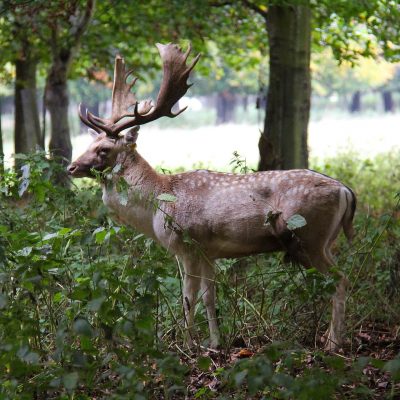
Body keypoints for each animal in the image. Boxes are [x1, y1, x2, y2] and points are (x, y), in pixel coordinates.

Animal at [68, 43, 356, 350]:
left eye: (103, 150)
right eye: (90, 143)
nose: (71, 167)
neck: (157, 202)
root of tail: (345, 190)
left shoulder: (187, 245)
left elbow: (187, 298)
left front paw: (187, 344)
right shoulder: (208, 252)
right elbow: (209, 297)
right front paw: (215, 343)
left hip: (308, 236)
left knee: (341, 281)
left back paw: (333, 344)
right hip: (325, 241)